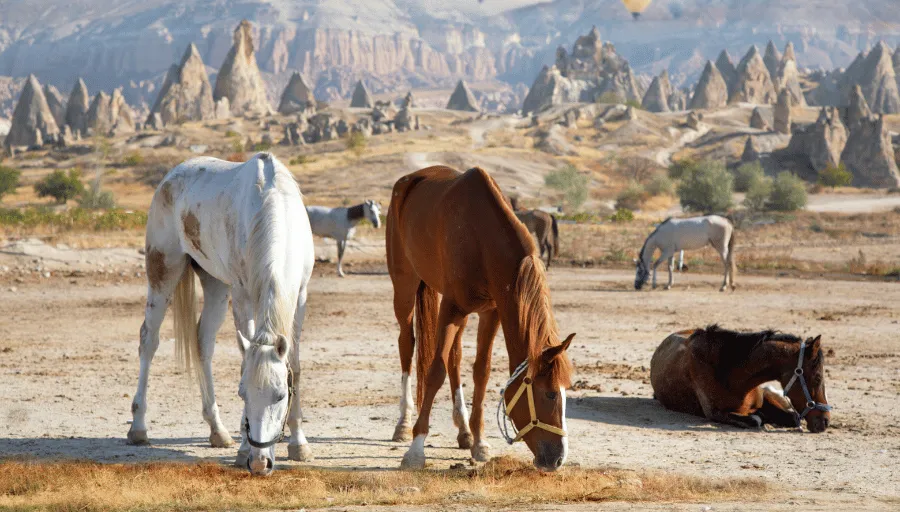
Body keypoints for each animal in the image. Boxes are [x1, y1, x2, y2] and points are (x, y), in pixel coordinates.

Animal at [127, 152, 315, 476]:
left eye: (281, 395)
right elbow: (244, 361)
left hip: (215, 284)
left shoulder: (300, 297)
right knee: (148, 341)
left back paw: (217, 430)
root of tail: (170, 177)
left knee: (203, 343)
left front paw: (299, 444)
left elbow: (295, 366)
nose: (260, 463)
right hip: (163, 271)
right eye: (242, 394)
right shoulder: (241, 296)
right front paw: (242, 450)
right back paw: (138, 428)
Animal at [387, 166, 575, 472]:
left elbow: (480, 372)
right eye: (550, 394)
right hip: (404, 287)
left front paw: (479, 442)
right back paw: (403, 424)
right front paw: (416, 449)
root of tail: (412, 178)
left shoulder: (491, 312)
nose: (557, 458)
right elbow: (435, 372)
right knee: (407, 343)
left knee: (454, 357)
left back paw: (463, 431)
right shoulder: (451, 307)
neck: (482, 238)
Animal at [650, 325, 831, 433]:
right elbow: (756, 419)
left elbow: (792, 416)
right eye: (817, 377)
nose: (825, 421)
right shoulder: (716, 413)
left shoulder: (763, 396)